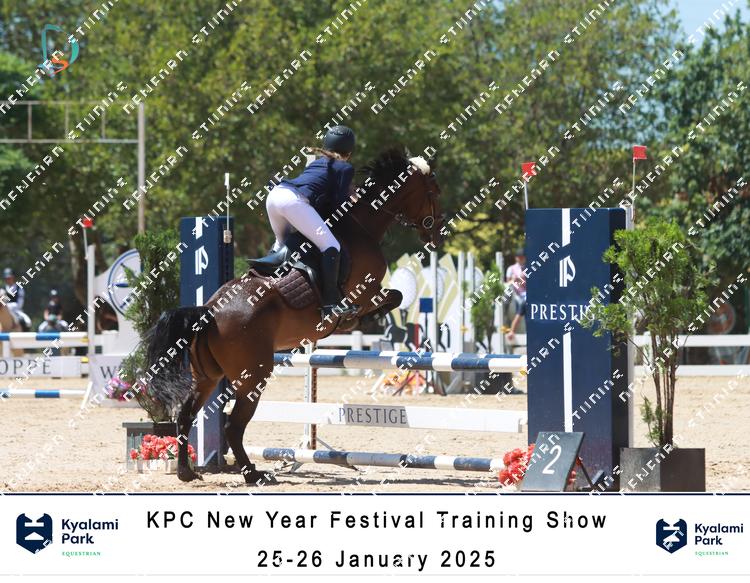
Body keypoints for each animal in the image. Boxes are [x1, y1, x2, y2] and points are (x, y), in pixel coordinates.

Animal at [144, 148, 444, 484]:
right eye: (433, 191)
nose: (438, 232)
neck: (361, 228)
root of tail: (209, 310)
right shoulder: (366, 291)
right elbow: (394, 297)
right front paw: (359, 319)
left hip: (208, 376)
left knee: (186, 416)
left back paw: (187, 472)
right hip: (253, 377)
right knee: (233, 426)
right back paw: (253, 474)